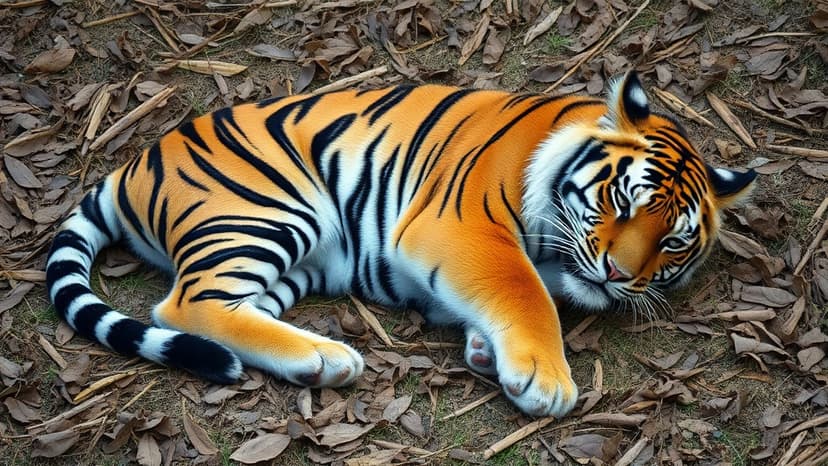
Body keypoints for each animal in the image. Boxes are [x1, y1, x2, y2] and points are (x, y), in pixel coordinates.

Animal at [45, 72, 756, 417]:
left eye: (672, 243)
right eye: (623, 203)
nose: (616, 274)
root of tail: (131, 164)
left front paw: (484, 350)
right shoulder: (461, 227)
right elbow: (522, 289)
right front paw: (543, 377)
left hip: (297, 261)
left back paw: (315, 362)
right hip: (269, 209)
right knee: (183, 305)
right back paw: (330, 356)